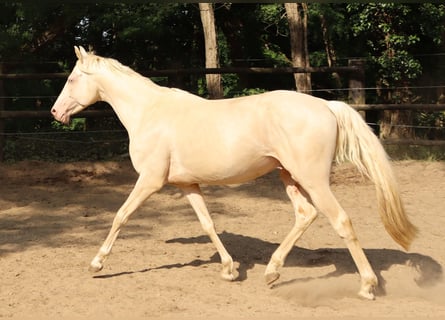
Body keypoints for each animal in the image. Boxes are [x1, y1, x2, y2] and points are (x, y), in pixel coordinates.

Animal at [51, 47, 416, 300]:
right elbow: (208, 223)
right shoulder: (188, 184)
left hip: (312, 179)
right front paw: (229, 270)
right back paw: (271, 272)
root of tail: (327, 105)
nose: (55, 112)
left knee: (340, 221)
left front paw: (97, 264)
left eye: (72, 78)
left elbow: (121, 215)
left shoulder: (150, 182)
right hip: (289, 177)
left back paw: (367, 286)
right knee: (305, 214)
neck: (149, 113)